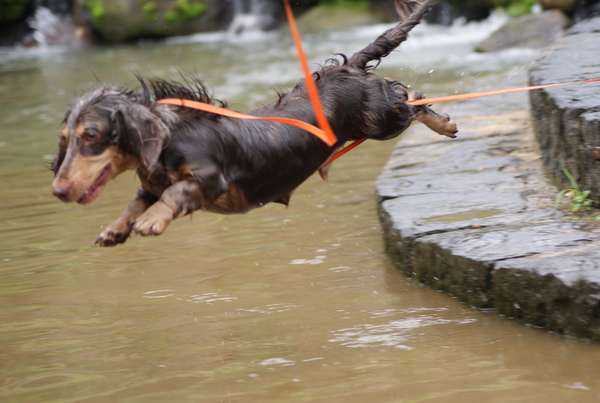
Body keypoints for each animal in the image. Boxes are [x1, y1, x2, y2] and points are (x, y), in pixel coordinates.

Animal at [51, 0, 458, 246]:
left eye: (92, 135)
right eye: (66, 138)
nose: (58, 191)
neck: (172, 139)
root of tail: (349, 67)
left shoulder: (210, 179)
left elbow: (174, 193)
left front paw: (152, 221)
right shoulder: (149, 184)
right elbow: (137, 201)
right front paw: (115, 228)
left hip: (382, 119)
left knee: (413, 98)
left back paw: (445, 124)